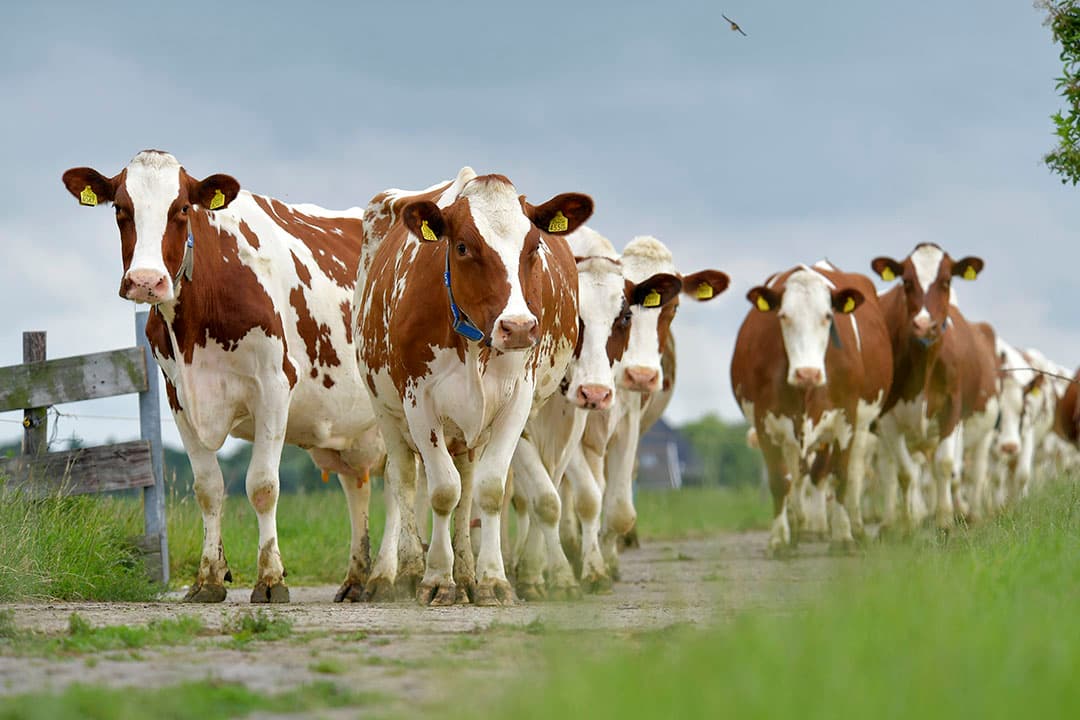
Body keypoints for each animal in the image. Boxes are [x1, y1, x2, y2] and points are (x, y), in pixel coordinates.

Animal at [62, 150, 384, 603]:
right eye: (120, 209)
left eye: (182, 208)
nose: (146, 281)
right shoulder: (178, 396)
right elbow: (208, 487)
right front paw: (209, 578)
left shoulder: (274, 387)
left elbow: (263, 486)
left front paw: (270, 578)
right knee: (364, 483)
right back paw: (360, 579)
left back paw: (401, 576)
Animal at [353, 167, 589, 606]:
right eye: (462, 247)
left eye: (534, 246)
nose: (518, 327)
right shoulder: (418, 402)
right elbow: (442, 490)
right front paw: (435, 579)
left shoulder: (517, 401)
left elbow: (487, 490)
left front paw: (492, 580)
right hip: (385, 407)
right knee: (404, 481)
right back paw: (403, 571)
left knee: (466, 488)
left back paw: (466, 574)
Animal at [731, 261, 892, 554]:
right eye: (783, 315)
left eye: (827, 316)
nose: (807, 373)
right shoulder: (765, 422)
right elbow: (779, 480)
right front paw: (779, 540)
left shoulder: (846, 419)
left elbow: (840, 476)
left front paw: (843, 537)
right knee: (798, 477)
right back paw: (800, 528)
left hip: (862, 427)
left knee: (850, 475)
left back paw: (853, 527)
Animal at [870, 244, 998, 532]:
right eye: (906, 281)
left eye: (947, 280)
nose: (924, 326)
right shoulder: (887, 417)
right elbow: (905, 472)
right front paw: (908, 524)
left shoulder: (952, 408)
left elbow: (946, 464)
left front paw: (945, 521)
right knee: (889, 469)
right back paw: (890, 521)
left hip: (982, 432)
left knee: (974, 471)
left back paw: (970, 512)